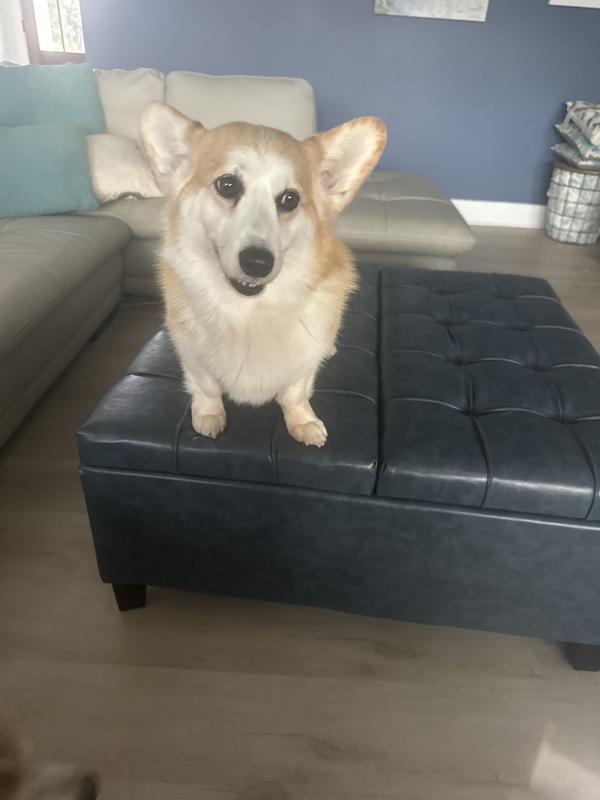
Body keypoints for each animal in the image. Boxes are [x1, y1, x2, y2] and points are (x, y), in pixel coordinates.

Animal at [141, 103, 386, 447]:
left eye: (289, 199)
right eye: (227, 185)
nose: (258, 263)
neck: (249, 314)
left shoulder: (303, 365)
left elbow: (295, 394)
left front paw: (303, 423)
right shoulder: (192, 355)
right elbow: (206, 387)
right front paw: (209, 417)